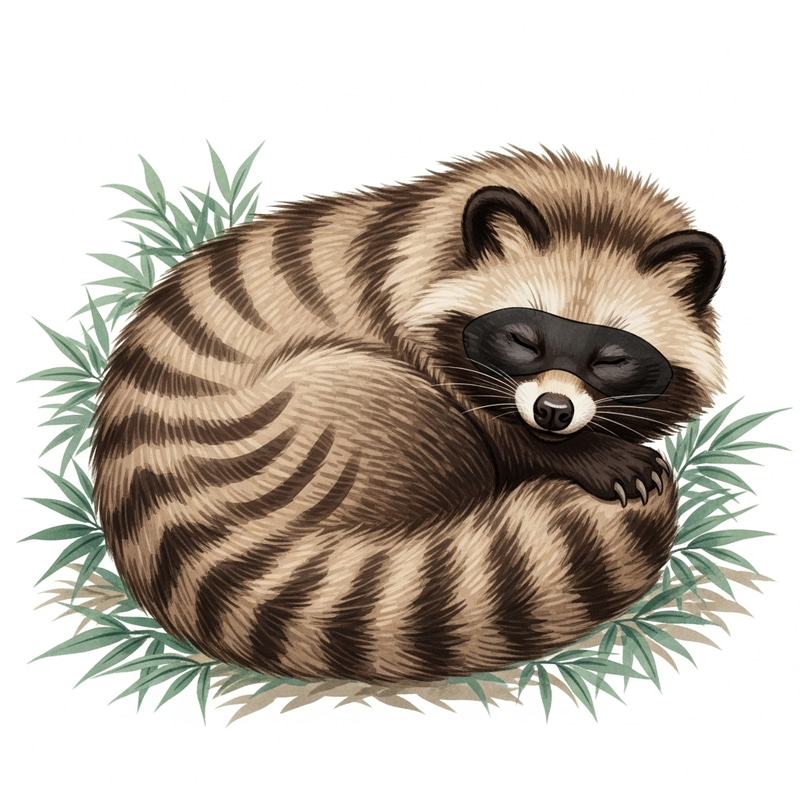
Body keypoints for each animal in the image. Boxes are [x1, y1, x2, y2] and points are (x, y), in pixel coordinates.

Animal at [91, 148, 725, 684]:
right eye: (523, 338)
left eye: (610, 357)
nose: (553, 412)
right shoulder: (401, 311)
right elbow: (495, 427)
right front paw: (583, 455)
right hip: (319, 429)